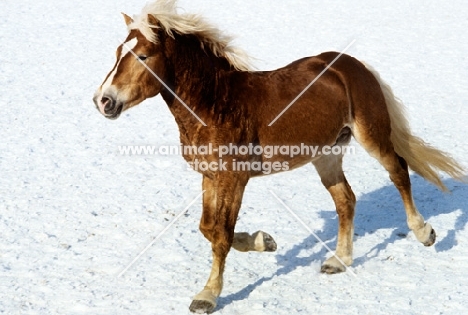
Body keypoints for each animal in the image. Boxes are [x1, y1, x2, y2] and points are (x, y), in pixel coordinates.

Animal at [92, 0, 464, 314]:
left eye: (143, 56)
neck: (215, 105)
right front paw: (265, 241)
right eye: (118, 52)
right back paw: (339, 261)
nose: (103, 101)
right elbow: (208, 228)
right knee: (346, 200)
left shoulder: (234, 179)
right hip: (326, 154)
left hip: (372, 136)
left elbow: (221, 234)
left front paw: (208, 295)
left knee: (398, 172)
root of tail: (350, 64)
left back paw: (424, 233)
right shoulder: (210, 176)